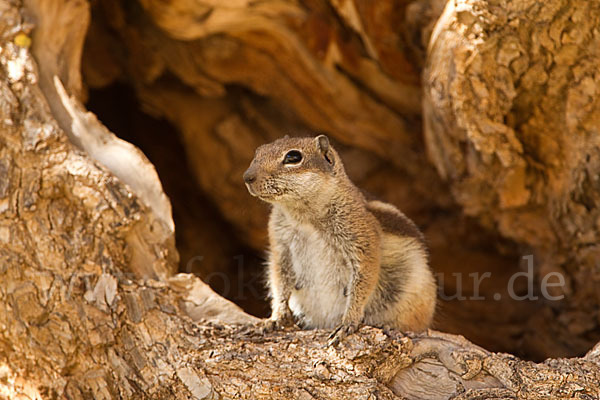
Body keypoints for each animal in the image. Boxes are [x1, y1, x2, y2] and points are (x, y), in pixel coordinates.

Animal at [243, 136, 436, 346]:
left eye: (293, 157)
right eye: (258, 152)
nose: (247, 177)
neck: (303, 215)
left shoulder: (361, 237)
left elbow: (363, 280)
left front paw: (348, 322)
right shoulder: (280, 245)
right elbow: (279, 280)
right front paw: (274, 318)